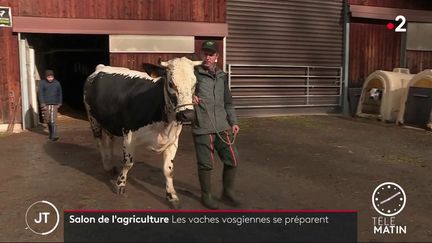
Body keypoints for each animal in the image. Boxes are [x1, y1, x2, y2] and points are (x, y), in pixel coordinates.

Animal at [83, 57, 202, 209]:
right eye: (171, 83)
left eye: (195, 84)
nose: (187, 115)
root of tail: (101, 68)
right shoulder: (128, 136)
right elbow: (128, 163)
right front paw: (120, 184)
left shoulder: (173, 141)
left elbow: (168, 170)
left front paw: (172, 196)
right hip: (93, 119)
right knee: (99, 143)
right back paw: (106, 165)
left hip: (109, 122)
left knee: (109, 142)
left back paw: (110, 165)